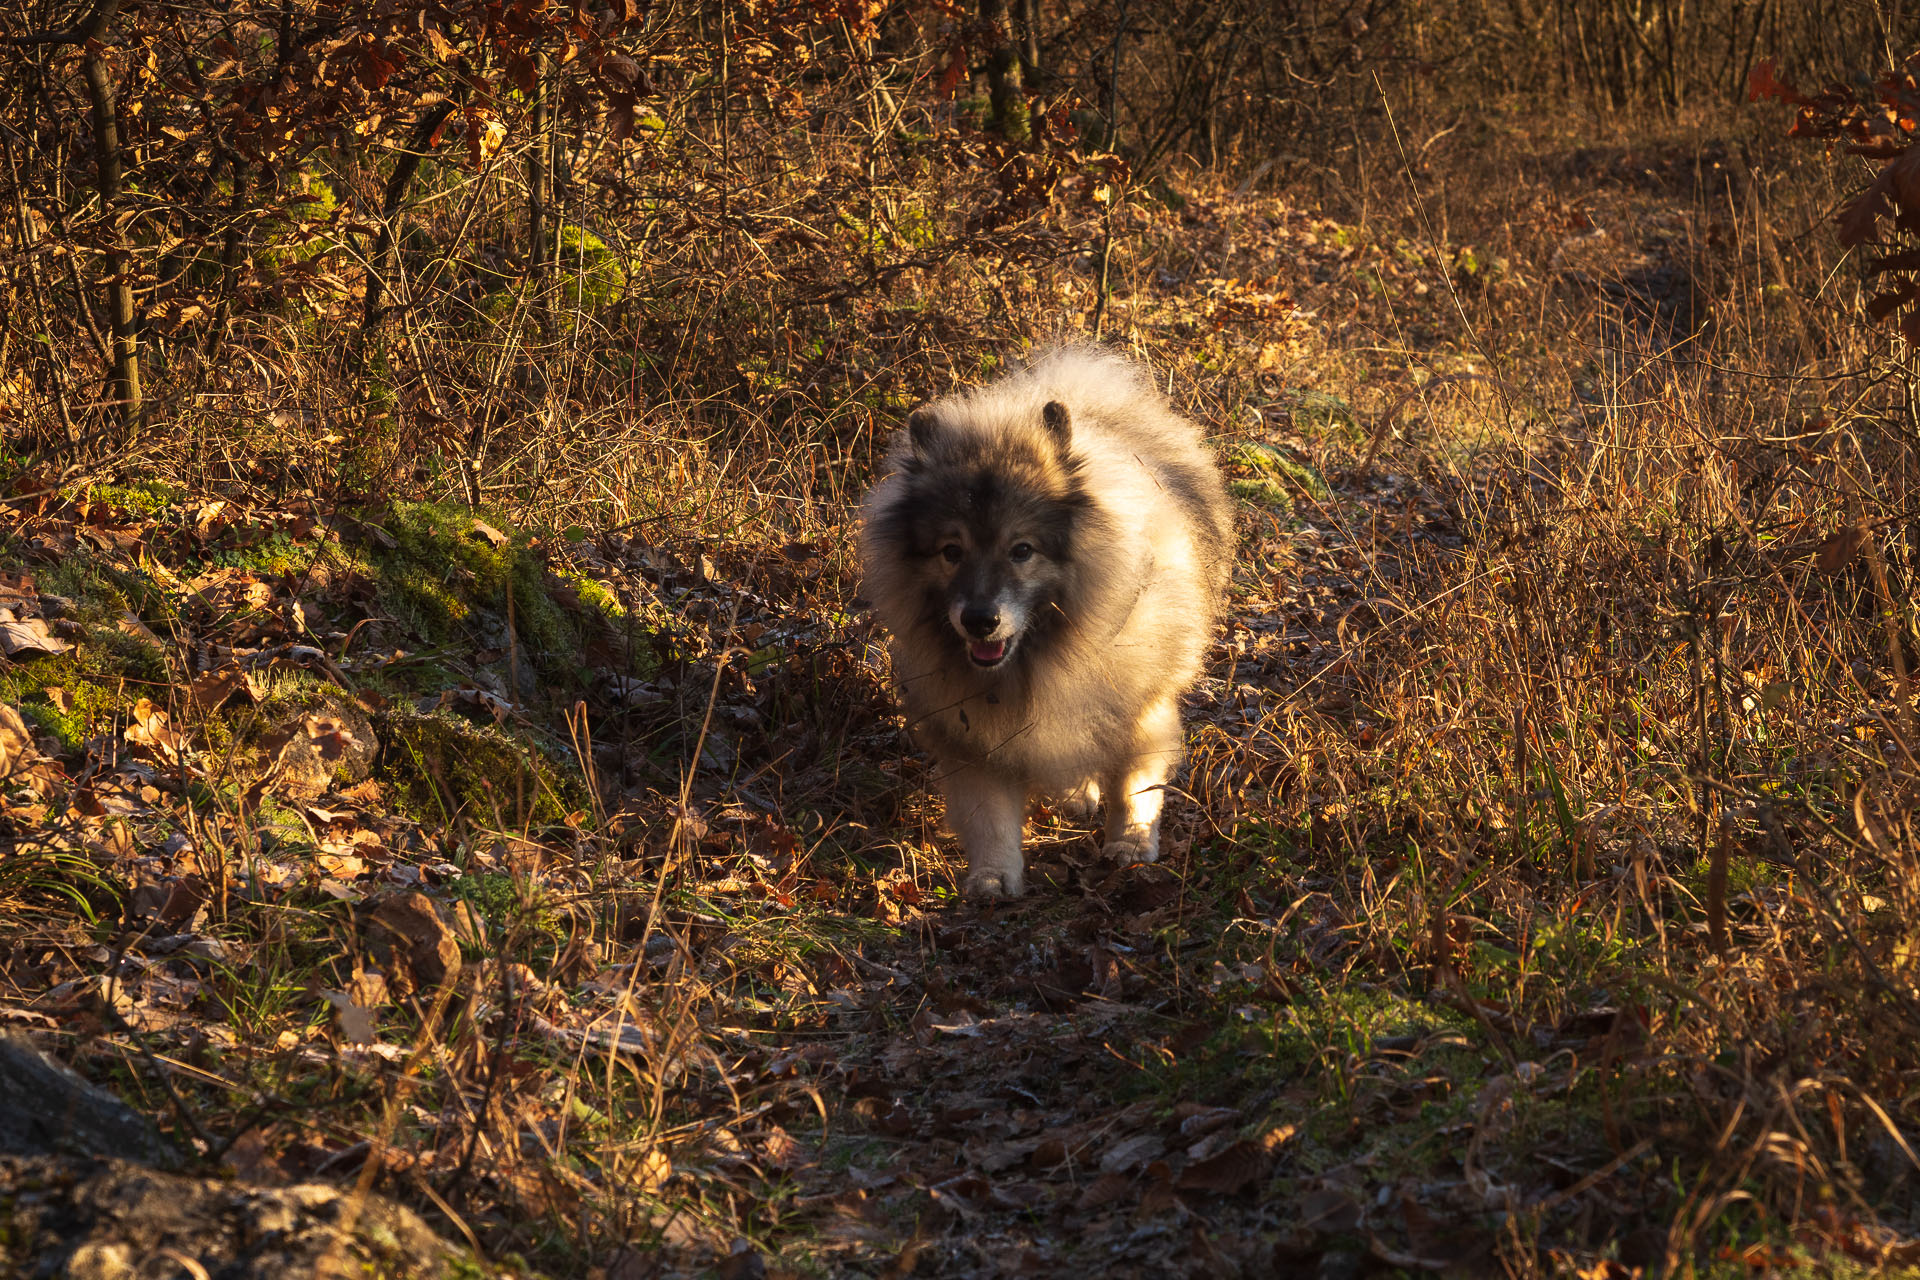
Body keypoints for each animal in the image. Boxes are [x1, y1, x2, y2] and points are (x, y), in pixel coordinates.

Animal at [856, 345, 1228, 898]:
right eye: (951, 551)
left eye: (1022, 550)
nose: (979, 620)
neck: (1041, 656)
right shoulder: (974, 736)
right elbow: (989, 816)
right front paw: (993, 876)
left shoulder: (1139, 707)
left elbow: (1135, 784)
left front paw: (1131, 843)